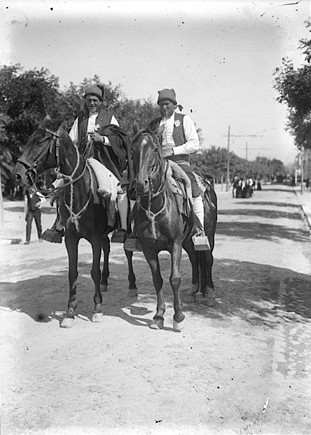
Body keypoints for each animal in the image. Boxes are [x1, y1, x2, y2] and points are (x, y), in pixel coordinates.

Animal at [13, 117, 138, 328]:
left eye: (40, 142)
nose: (18, 174)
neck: (81, 190)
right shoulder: (71, 238)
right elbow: (72, 272)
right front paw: (70, 312)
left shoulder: (94, 238)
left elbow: (94, 271)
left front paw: (97, 309)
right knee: (107, 248)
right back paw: (105, 282)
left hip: (126, 230)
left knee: (128, 252)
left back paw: (132, 286)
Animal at [131, 127, 217, 332]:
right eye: (133, 150)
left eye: (155, 149)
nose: (140, 184)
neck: (155, 208)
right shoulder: (148, 249)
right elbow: (158, 280)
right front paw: (158, 316)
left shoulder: (175, 244)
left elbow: (174, 279)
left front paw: (178, 317)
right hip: (188, 241)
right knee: (195, 260)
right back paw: (194, 291)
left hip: (208, 236)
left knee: (207, 260)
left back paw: (209, 294)